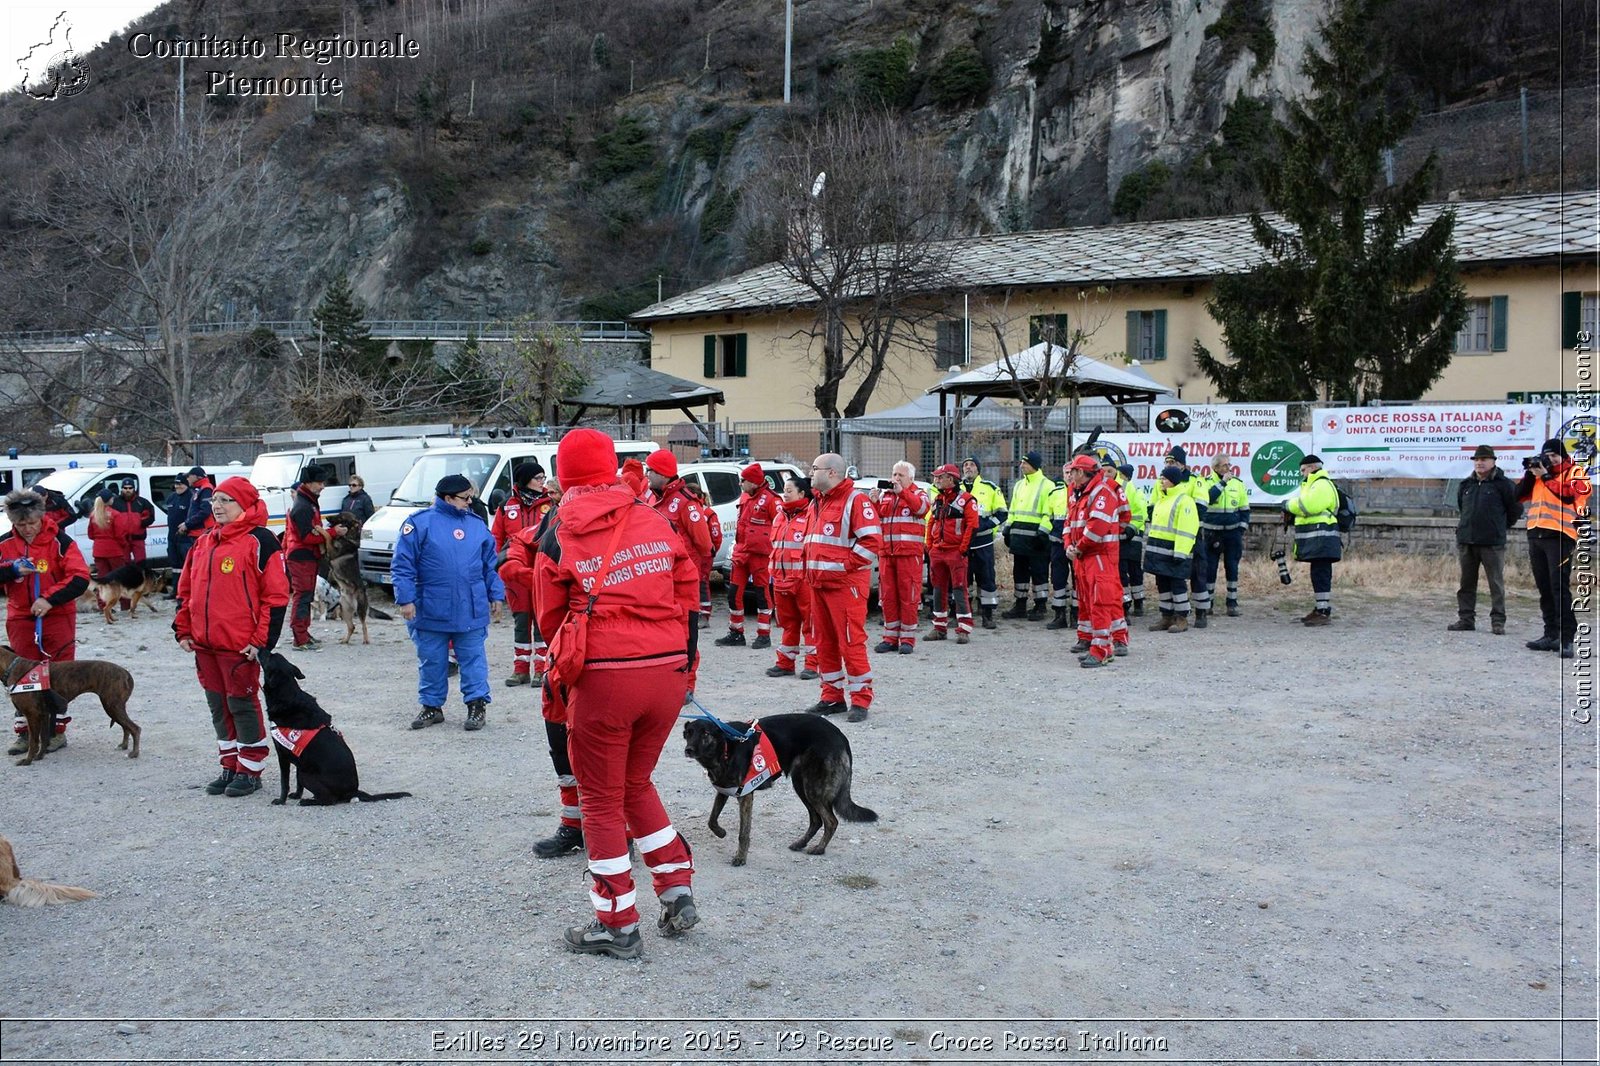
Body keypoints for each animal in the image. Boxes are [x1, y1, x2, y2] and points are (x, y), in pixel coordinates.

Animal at [0, 640, 140, 765]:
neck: (10, 667)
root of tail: (126, 673)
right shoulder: (44, 714)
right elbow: (43, 739)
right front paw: (40, 756)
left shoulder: (32, 715)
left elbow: (33, 742)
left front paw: (28, 760)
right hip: (114, 708)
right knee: (126, 727)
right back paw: (124, 745)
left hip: (112, 706)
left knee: (135, 728)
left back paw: (135, 753)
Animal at [259, 646, 409, 806]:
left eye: (269, 657)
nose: (260, 647)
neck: (287, 694)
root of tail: (353, 791)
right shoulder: (299, 760)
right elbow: (297, 785)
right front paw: (297, 795)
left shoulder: (283, 755)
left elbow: (284, 782)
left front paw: (281, 800)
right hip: (304, 771)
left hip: (306, 775)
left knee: (329, 800)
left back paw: (308, 801)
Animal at [675, 704, 876, 864]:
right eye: (688, 734)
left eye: (705, 734)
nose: (688, 750)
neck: (725, 747)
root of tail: (840, 734)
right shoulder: (724, 790)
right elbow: (711, 819)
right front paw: (721, 832)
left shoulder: (745, 797)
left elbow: (743, 833)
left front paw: (740, 858)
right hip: (801, 786)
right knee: (816, 820)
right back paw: (801, 843)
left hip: (813, 789)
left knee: (831, 821)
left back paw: (819, 848)